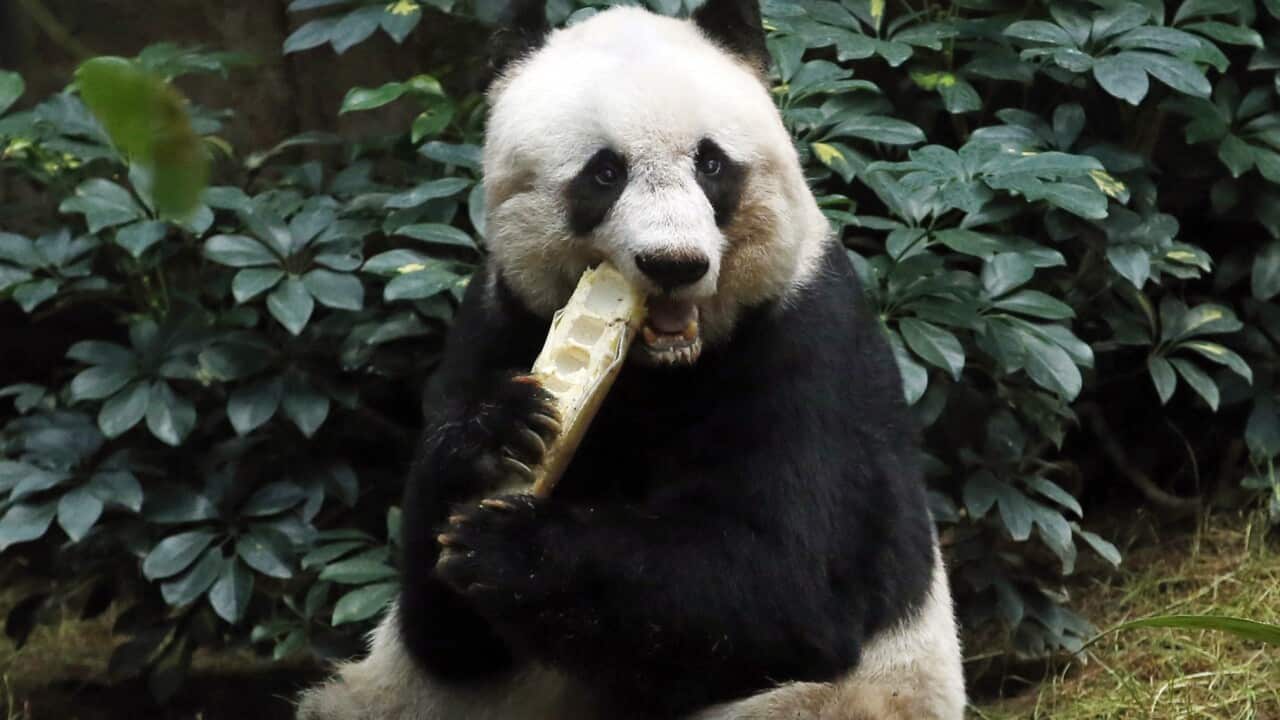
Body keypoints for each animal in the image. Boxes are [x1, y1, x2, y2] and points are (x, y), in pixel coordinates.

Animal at [297, 1, 966, 718]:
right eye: (605, 172)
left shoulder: (810, 338)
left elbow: (792, 578)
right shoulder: (496, 320)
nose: (674, 263)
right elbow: (444, 632)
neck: (659, 371)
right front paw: (493, 434)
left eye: (711, 164)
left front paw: (514, 551)